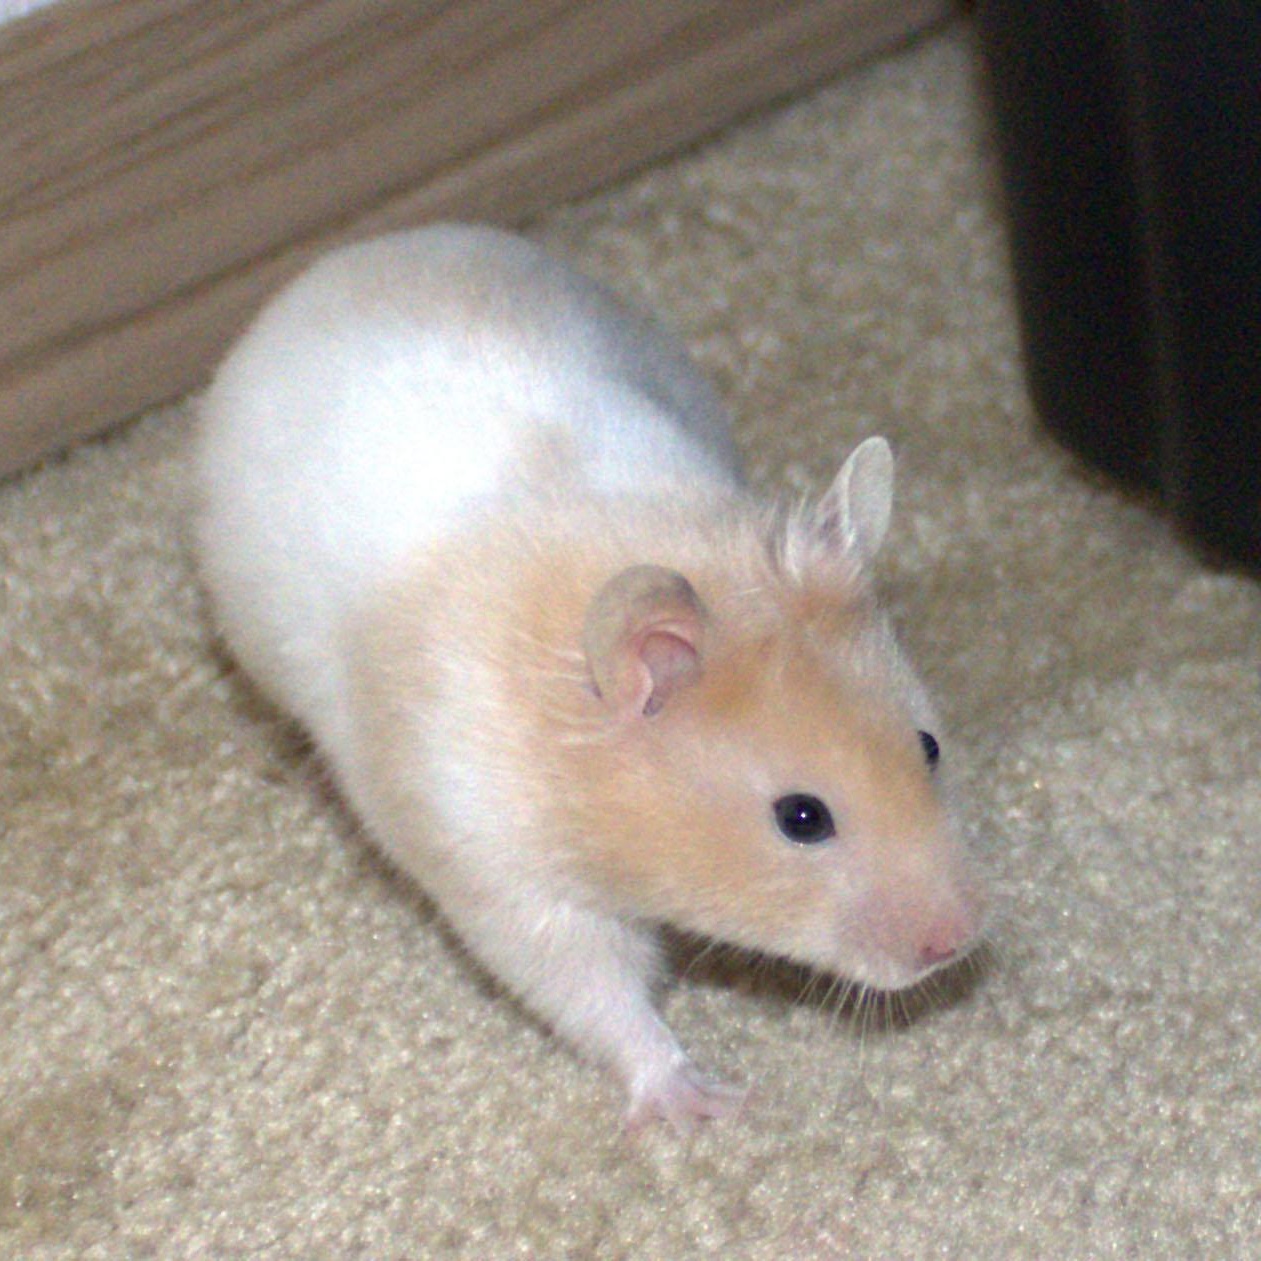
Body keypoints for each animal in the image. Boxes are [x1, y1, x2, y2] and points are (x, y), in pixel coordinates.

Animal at [194, 224, 983, 1129]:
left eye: (928, 746)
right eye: (801, 817)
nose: (956, 941)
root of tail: (343, 260)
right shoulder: (503, 873)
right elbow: (597, 995)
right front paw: (706, 1104)